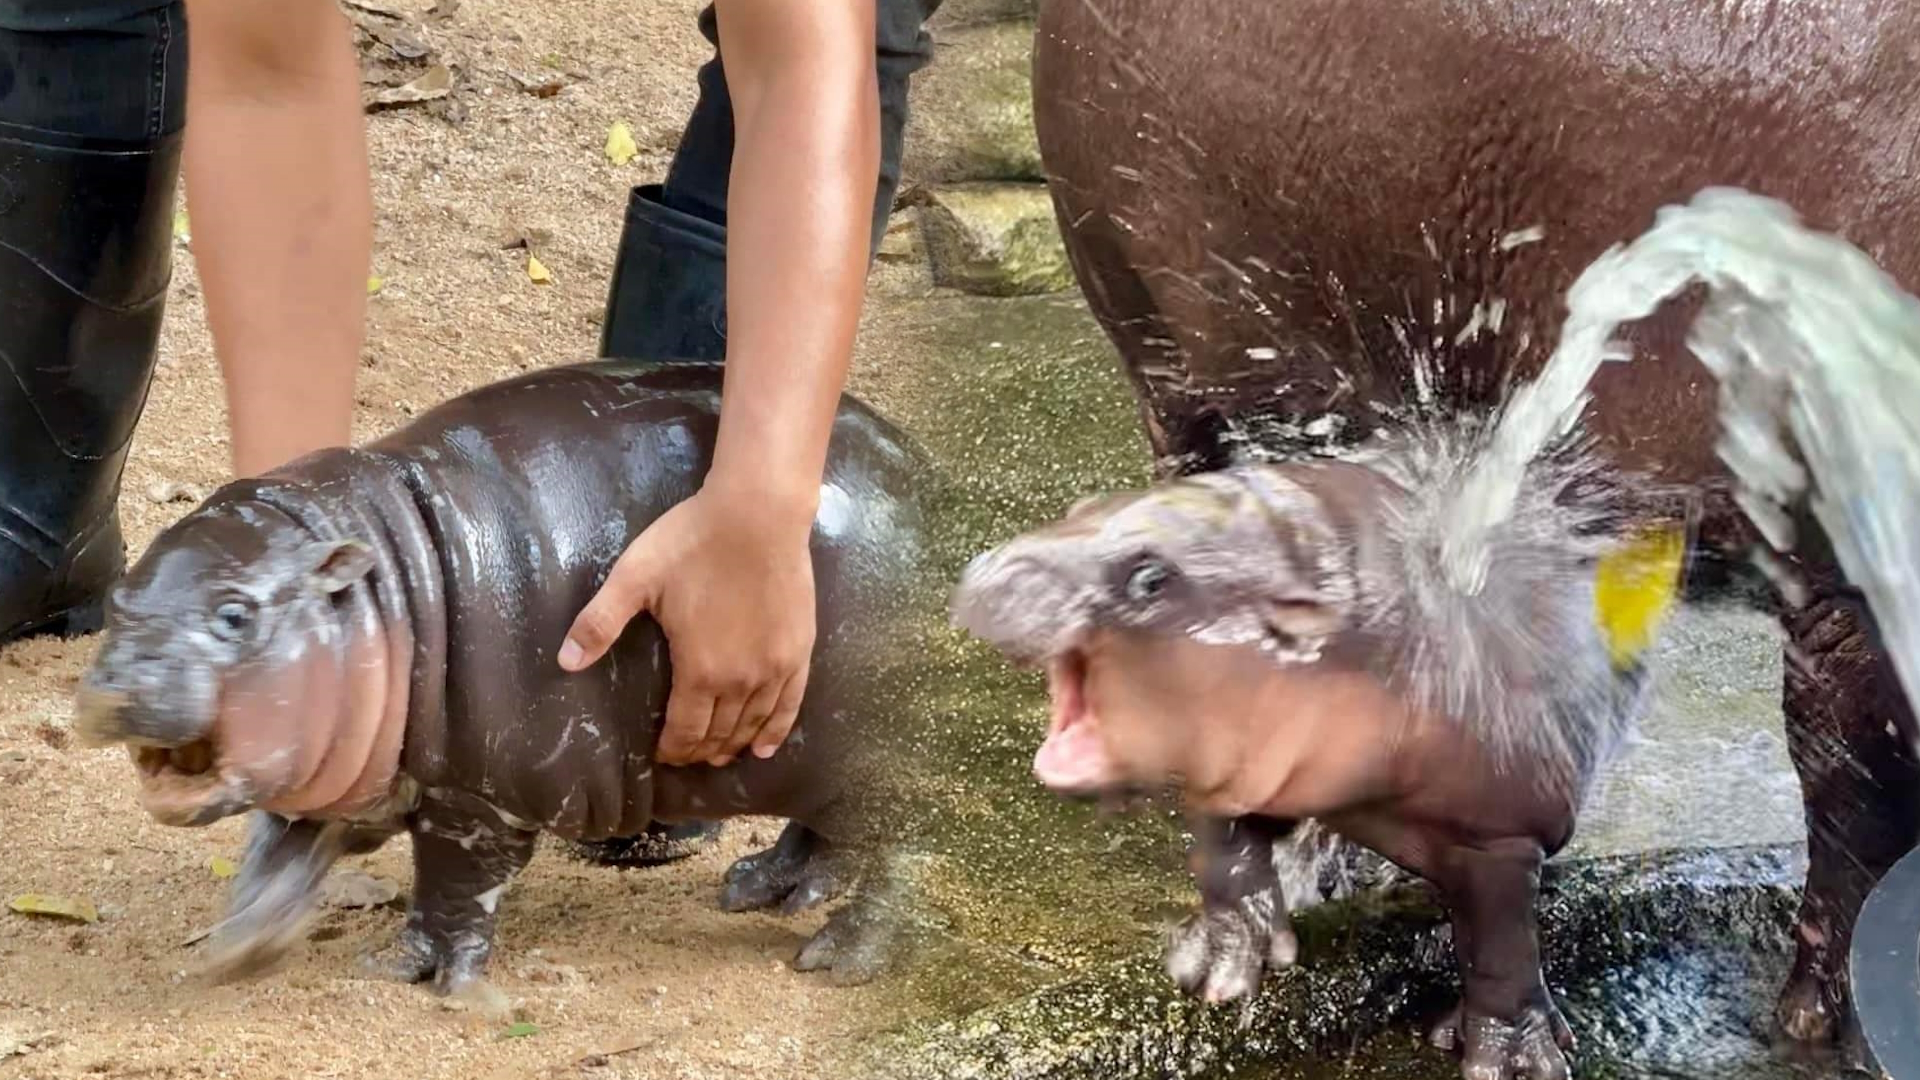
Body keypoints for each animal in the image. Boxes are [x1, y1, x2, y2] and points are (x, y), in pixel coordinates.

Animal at [71, 360, 930, 999]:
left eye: (235, 614)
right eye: (117, 600)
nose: (114, 687)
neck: (387, 586)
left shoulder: (479, 802)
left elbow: (451, 890)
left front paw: (417, 973)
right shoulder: (328, 781)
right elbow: (276, 858)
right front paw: (238, 949)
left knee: (908, 857)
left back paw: (834, 959)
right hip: (820, 763)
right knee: (834, 833)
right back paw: (761, 889)